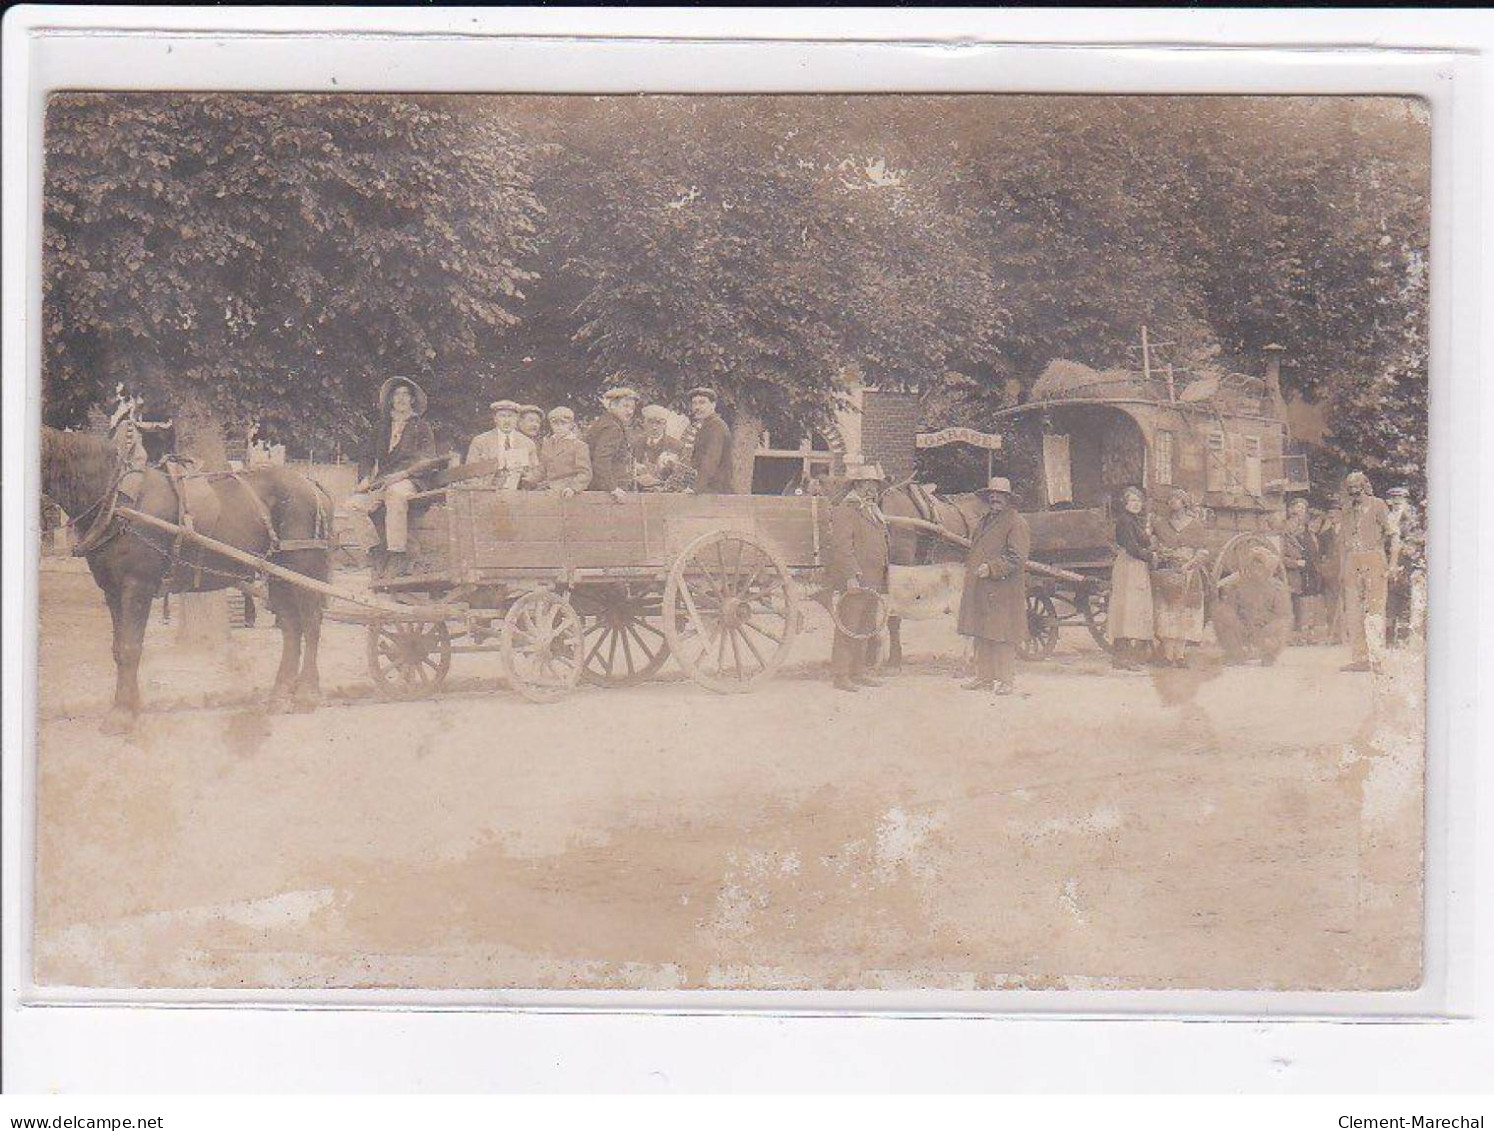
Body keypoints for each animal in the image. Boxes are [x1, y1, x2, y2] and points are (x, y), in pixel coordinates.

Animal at [40, 424, 330, 732]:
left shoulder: (136, 586)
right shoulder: (113, 590)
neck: (117, 501)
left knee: (311, 625)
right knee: (291, 628)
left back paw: (307, 695)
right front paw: (130, 706)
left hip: (303, 568)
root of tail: (311, 485)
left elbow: (130, 647)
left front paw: (121, 714)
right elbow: (119, 648)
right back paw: (279, 696)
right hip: (278, 576)